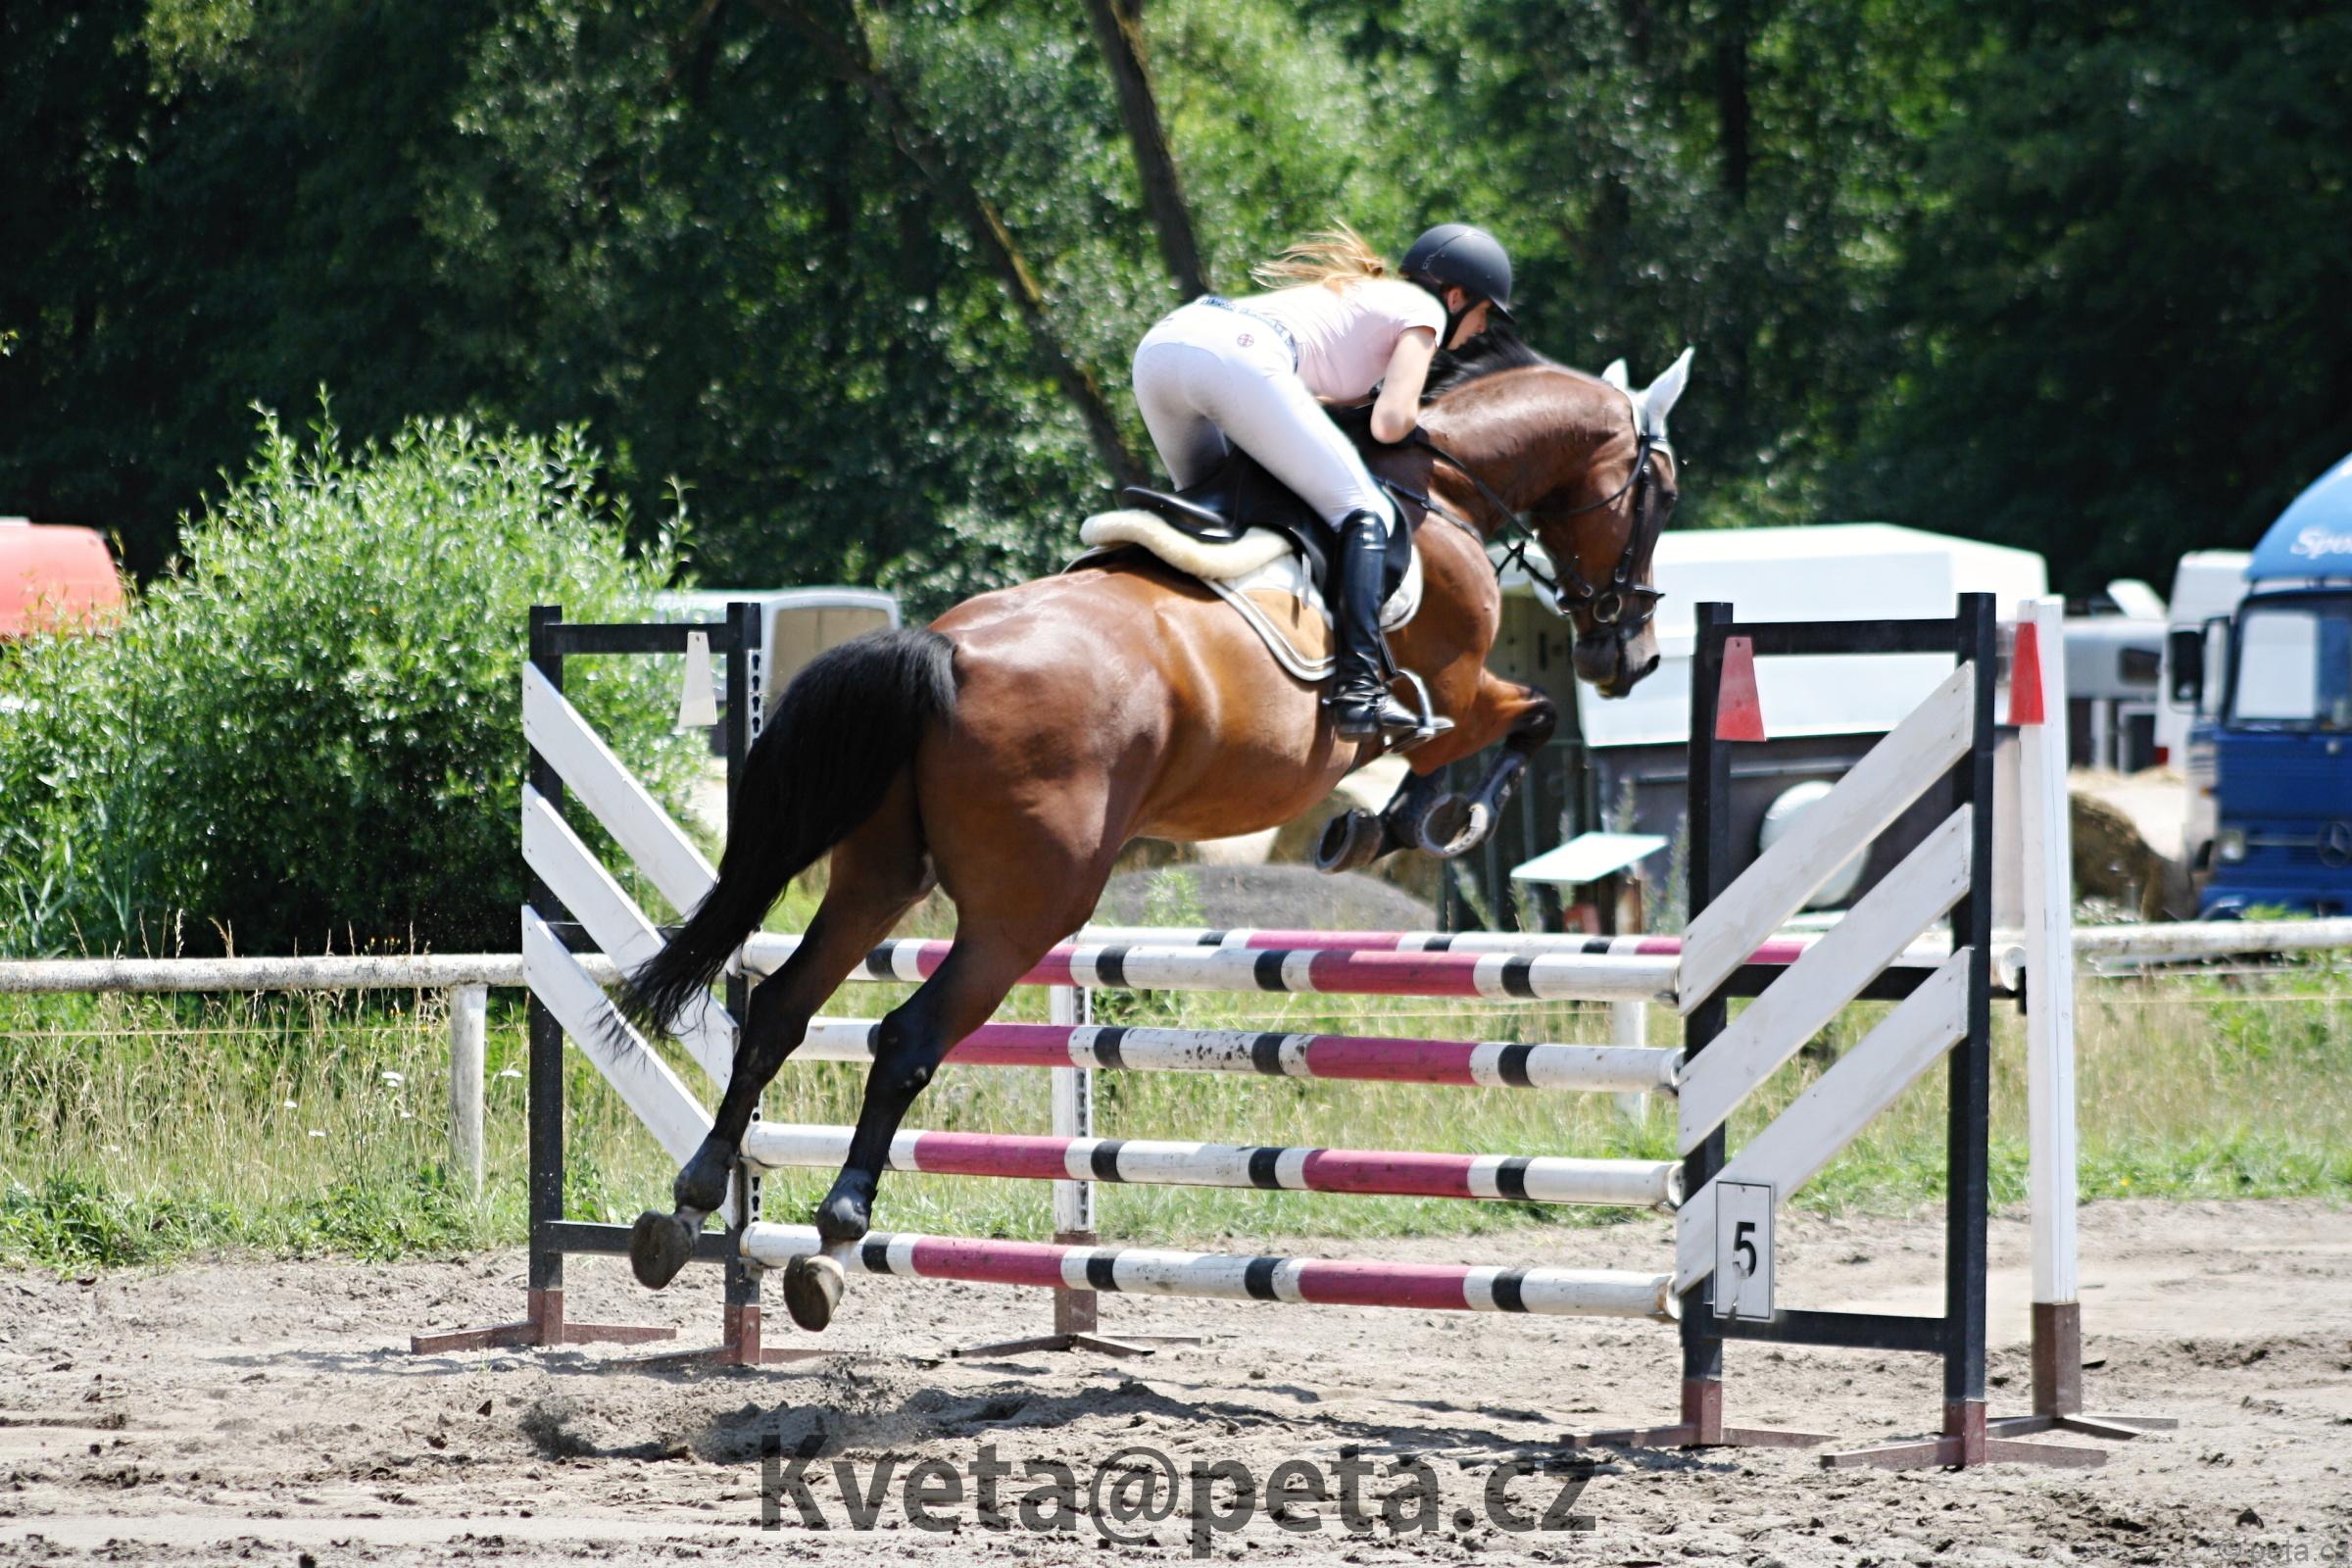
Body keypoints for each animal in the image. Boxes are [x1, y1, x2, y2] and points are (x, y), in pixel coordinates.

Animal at [621, 332, 1685, 1330]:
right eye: (1659, 492)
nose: (1628, 654)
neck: (1449, 485)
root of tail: (942, 649)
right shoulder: (1455, 695)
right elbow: (1525, 720)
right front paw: (1421, 822)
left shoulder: (1452, 702)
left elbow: (1514, 725)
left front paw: (1385, 825)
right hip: (1028, 909)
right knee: (906, 1036)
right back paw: (837, 1231)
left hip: (879, 877)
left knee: (778, 1010)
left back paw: (691, 1201)